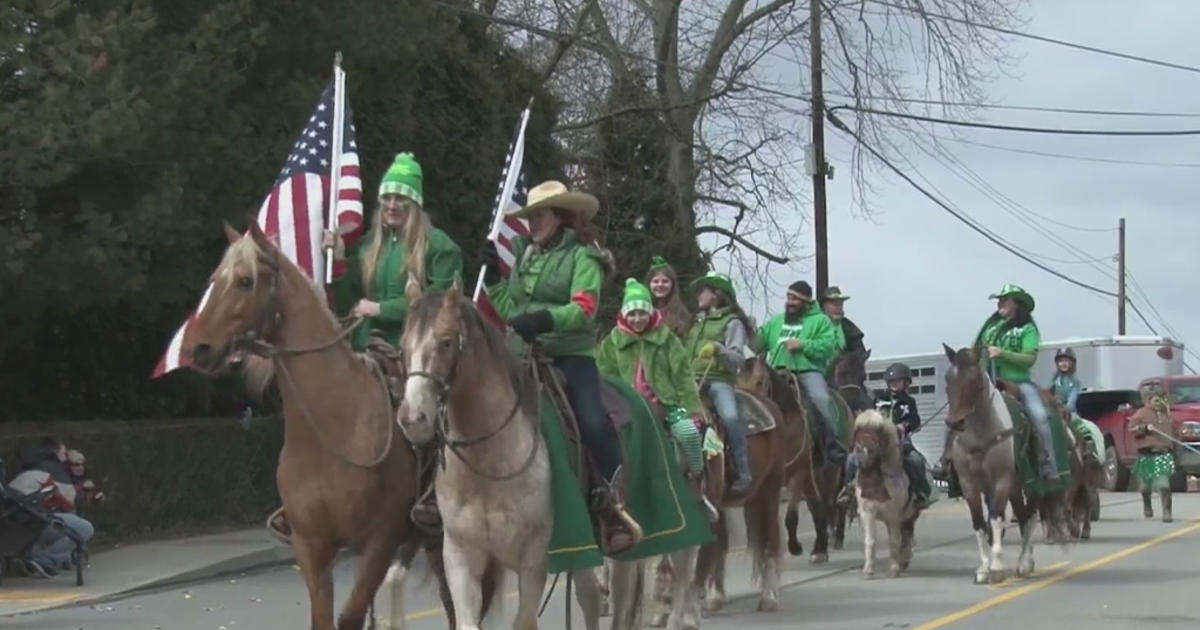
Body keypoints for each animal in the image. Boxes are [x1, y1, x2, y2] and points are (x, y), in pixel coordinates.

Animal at [187, 222, 451, 628]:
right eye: (215, 279)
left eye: (246, 280)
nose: (197, 348)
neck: (333, 431)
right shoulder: (311, 547)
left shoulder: (379, 541)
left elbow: (350, 616)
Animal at [940, 343, 1065, 585]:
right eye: (948, 378)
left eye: (975, 379)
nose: (954, 422)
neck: (980, 436)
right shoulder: (970, 485)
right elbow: (979, 524)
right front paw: (983, 569)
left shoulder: (1002, 481)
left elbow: (996, 519)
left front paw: (996, 567)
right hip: (1016, 488)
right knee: (1023, 517)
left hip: (1032, 485)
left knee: (1030, 517)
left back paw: (1024, 563)